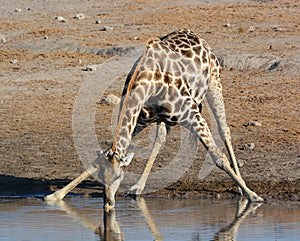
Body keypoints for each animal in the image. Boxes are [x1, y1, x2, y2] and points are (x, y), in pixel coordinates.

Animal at [43, 28, 264, 211]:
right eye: (101, 178)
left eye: (118, 176)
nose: (108, 204)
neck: (146, 84)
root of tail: (195, 34)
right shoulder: (139, 119)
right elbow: (99, 158)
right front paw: (56, 195)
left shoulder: (192, 114)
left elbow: (218, 157)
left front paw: (253, 196)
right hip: (163, 118)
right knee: (160, 139)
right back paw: (138, 187)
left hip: (214, 84)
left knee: (224, 130)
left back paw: (242, 186)